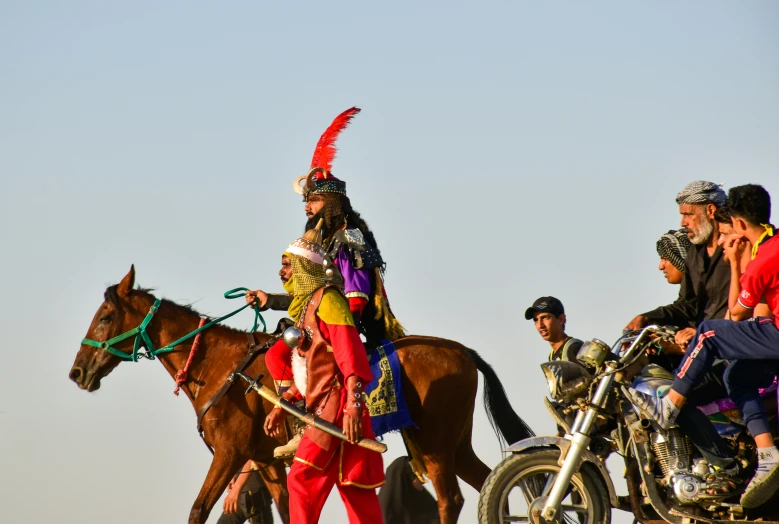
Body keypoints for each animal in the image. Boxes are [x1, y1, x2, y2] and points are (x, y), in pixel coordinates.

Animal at [70, 268, 532, 520]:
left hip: (434, 444)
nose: (78, 372)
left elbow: (198, 510)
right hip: (455, 444)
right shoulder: (266, 462)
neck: (220, 366)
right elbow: (287, 509)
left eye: (106, 315)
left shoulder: (229, 454)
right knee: (486, 482)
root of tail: (463, 351)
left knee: (450, 499)